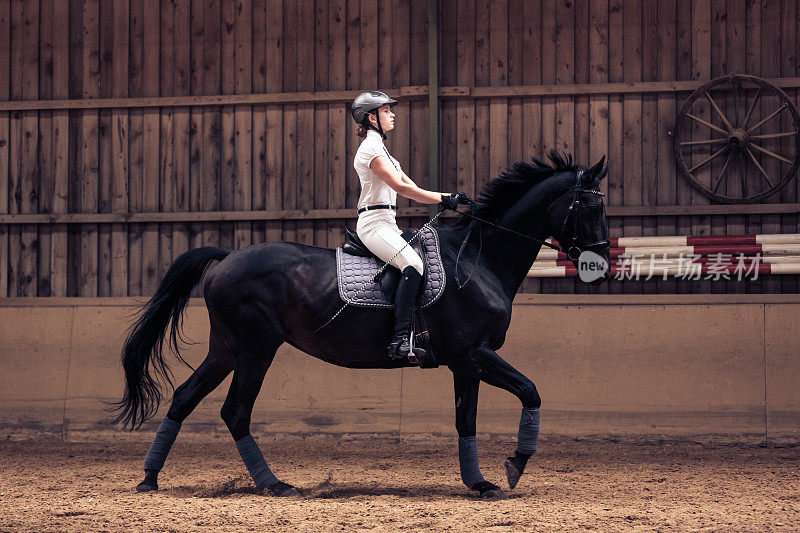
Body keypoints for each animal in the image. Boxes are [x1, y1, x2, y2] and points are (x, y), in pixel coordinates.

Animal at [114, 150, 608, 498]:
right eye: (587, 207)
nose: (600, 262)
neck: (477, 258)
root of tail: (227, 256)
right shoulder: (476, 353)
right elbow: (530, 391)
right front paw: (515, 465)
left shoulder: (466, 362)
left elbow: (465, 420)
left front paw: (479, 483)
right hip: (255, 350)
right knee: (234, 411)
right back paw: (274, 484)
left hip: (226, 349)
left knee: (183, 398)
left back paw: (150, 478)